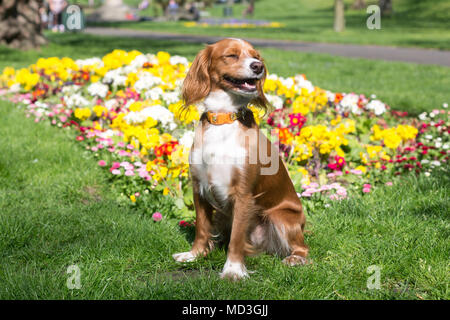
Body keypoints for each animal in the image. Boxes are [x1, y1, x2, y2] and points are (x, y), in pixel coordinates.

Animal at [172, 38, 310, 280]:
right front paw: (195, 255)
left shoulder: (244, 193)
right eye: (231, 55)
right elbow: (201, 228)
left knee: (303, 248)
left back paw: (294, 258)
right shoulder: (199, 187)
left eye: (255, 56)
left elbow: (236, 238)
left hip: (282, 217)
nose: (258, 66)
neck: (224, 119)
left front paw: (233, 270)